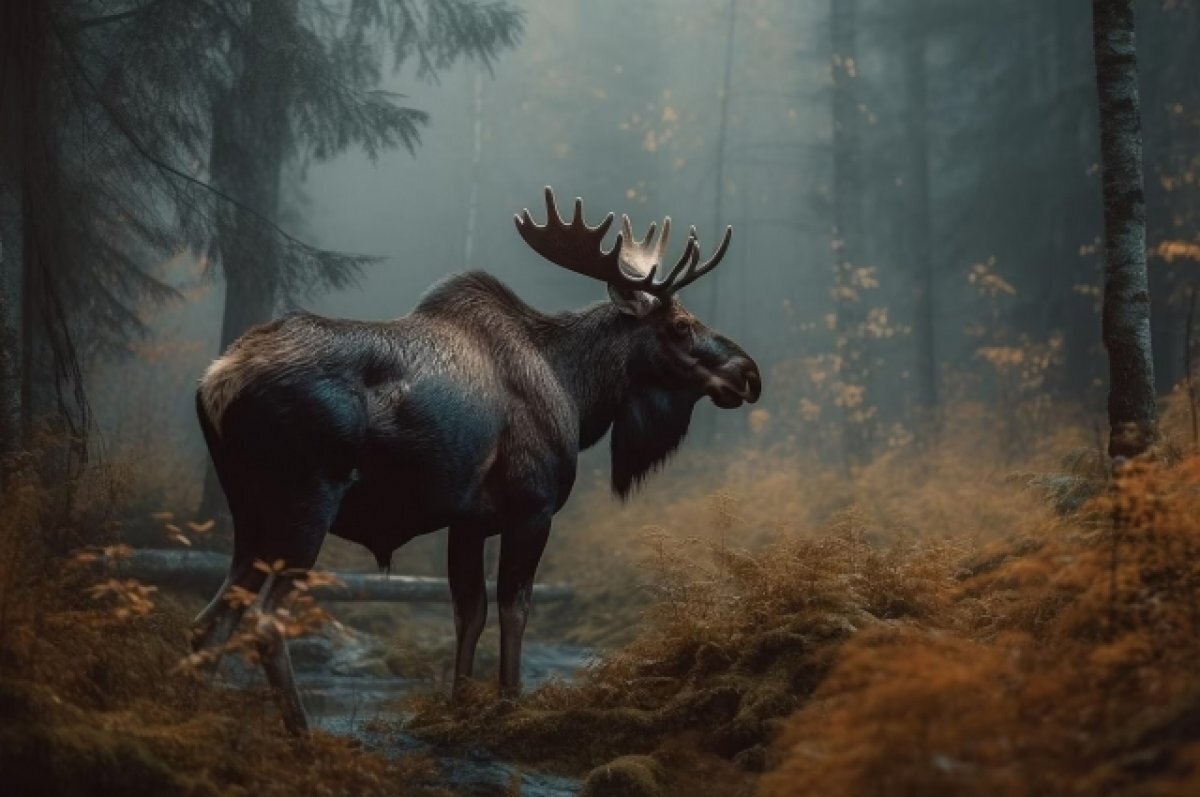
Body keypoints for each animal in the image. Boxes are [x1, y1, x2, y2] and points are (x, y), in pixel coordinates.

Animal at [193, 187, 763, 734]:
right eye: (681, 325)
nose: (749, 374)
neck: (577, 394)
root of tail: (217, 381)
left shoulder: (465, 523)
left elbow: (469, 613)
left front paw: (460, 704)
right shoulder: (532, 508)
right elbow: (514, 609)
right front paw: (509, 703)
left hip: (249, 512)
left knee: (209, 620)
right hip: (307, 503)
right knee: (265, 621)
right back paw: (302, 735)